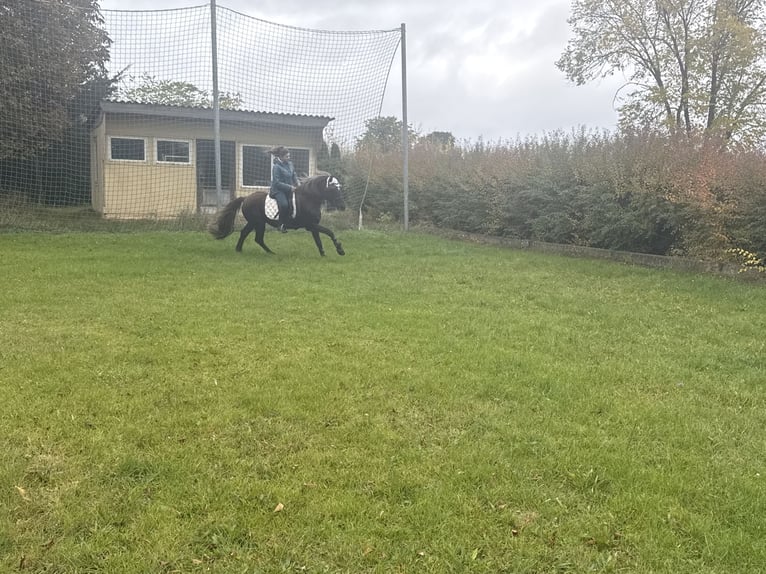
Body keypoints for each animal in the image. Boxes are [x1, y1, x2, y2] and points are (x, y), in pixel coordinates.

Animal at [208, 174, 346, 257]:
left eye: (340, 188)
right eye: (334, 189)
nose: (342, 206)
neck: (309, 199)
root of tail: (246, 198)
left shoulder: (313, 226)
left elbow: (318, 240)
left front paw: (323, 254)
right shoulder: (310, 225)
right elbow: (329, 232)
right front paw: (340, 249)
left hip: (254, 223)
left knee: (246, 234)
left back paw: (241, 250)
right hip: (258, 223)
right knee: (257, 238)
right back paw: (270, 252)